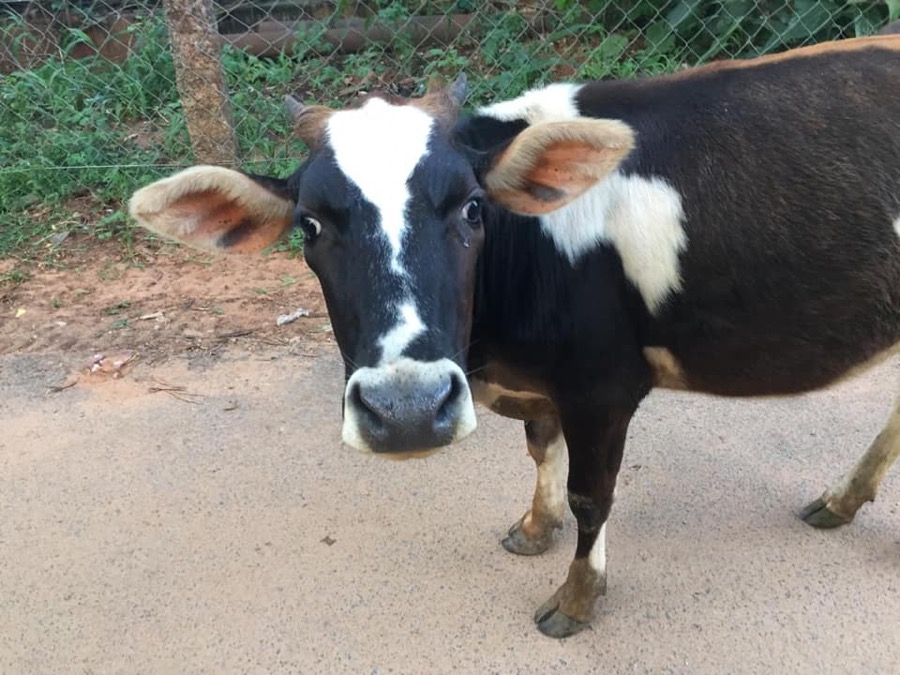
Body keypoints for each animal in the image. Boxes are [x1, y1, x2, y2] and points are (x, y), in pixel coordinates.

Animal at [129, 33, 900, 638]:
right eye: (310, 226)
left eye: (474, 207)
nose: (407, 412)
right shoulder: (545, 385)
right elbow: (540, 448)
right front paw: (535, 526)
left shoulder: (603, 384)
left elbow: (594, 495)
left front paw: (578, 598)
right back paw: (841, 500)